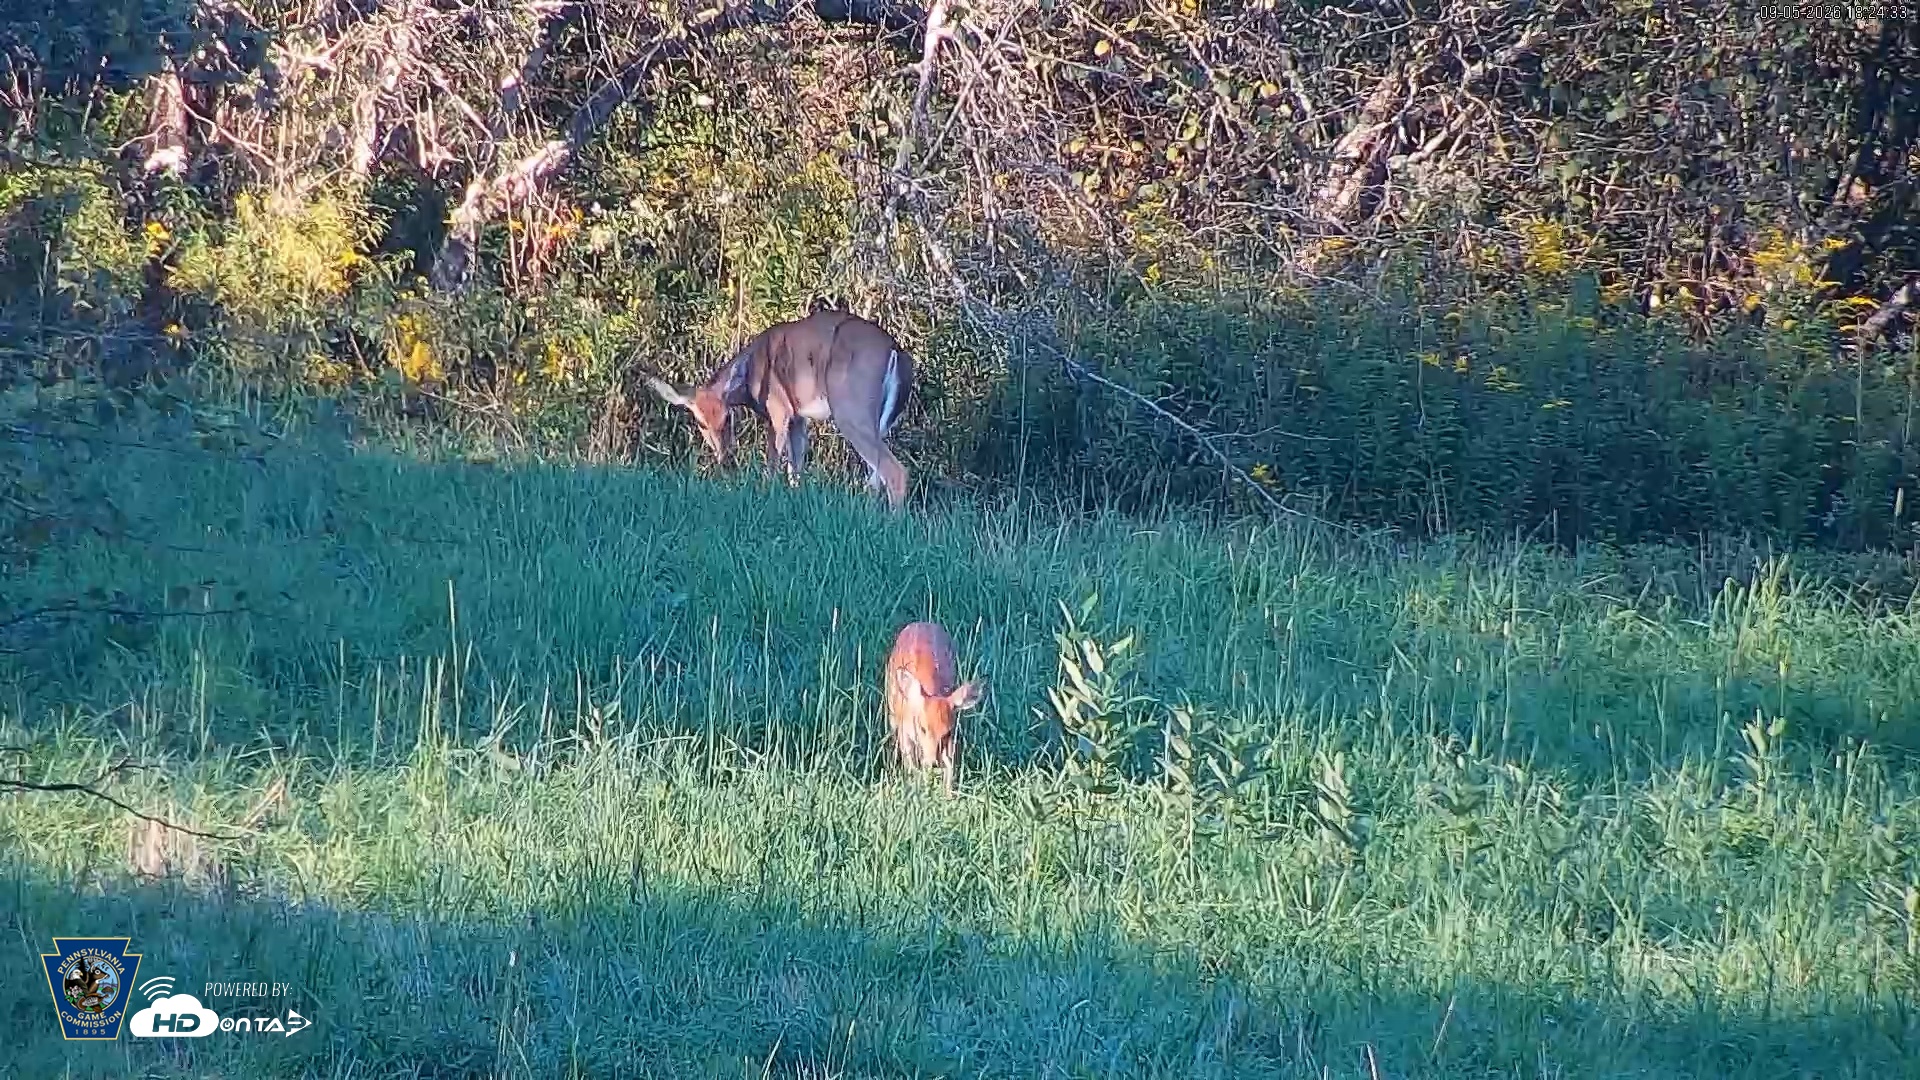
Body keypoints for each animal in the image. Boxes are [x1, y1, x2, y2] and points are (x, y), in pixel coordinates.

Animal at [645, 308, 915, 510]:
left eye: (727, 418)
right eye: (701, 423)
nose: (725, 457)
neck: (752, 376)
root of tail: (896, 352)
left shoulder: (779, 410)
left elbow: (773, 463)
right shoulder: (798, 418)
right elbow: (795, 469)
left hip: (851, 410)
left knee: (895, 472)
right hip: (879, 421)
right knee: (876, 476)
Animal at [884, 620, 983, 793]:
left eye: (947, 732)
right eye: (923, 728)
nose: (934, 763)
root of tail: (921, 623)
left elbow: (949, 764)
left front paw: (948, 793)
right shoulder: (904, 730)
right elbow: (910, 764)